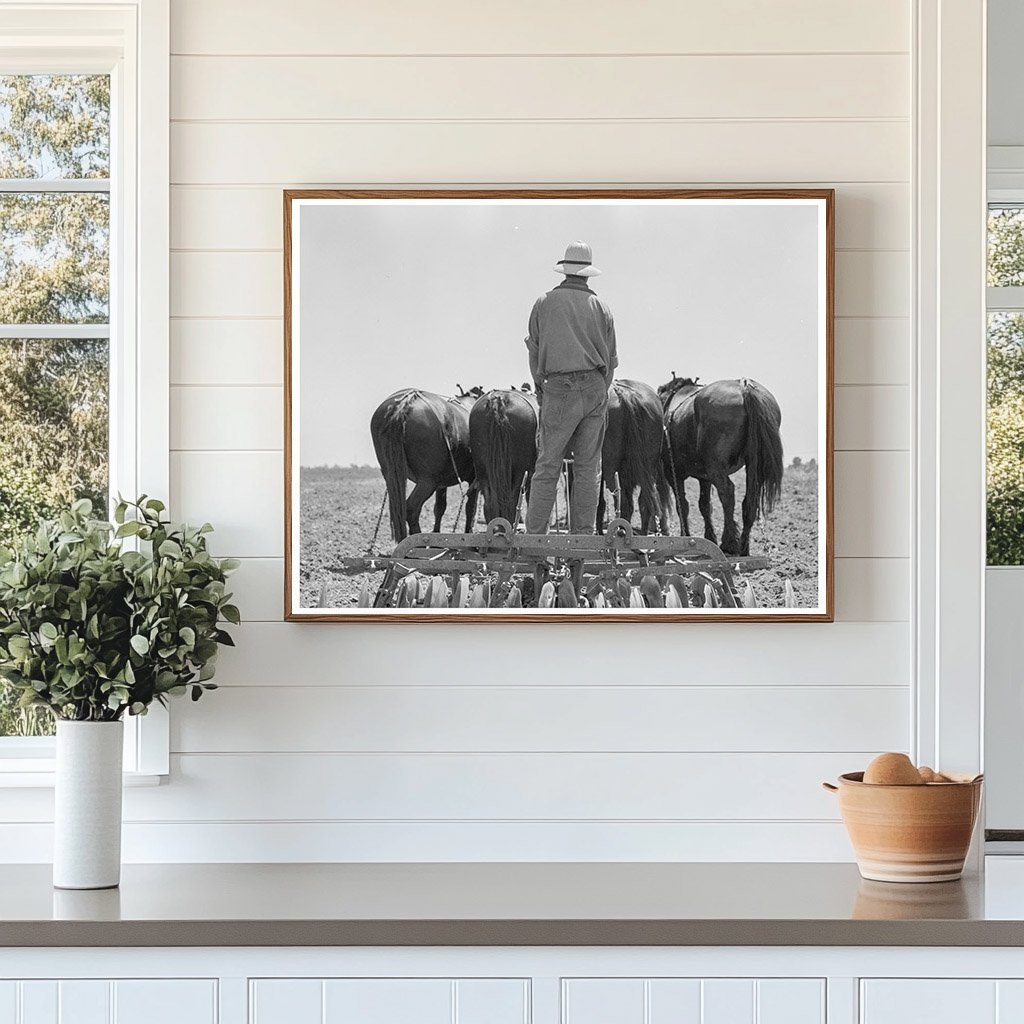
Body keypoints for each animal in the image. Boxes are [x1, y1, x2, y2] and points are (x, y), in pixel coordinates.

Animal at [370, 385, 481, 544]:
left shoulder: (442, 484)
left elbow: (440, 507)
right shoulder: (473, 480)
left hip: (391, 476)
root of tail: (404, 404)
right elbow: (470, 508)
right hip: (427, 481)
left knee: (400, 508)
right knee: (411, 508)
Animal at [655, 374, 782, 557]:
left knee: (727, 492)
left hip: (716, 468)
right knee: (749, 502)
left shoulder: (674, 474)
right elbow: (704, 505)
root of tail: (744, 387)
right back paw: (743, 547)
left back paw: (729, 543)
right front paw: (709, 538)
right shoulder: (704, 477)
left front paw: (685, 537)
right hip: (752, 466)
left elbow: (683, 505)